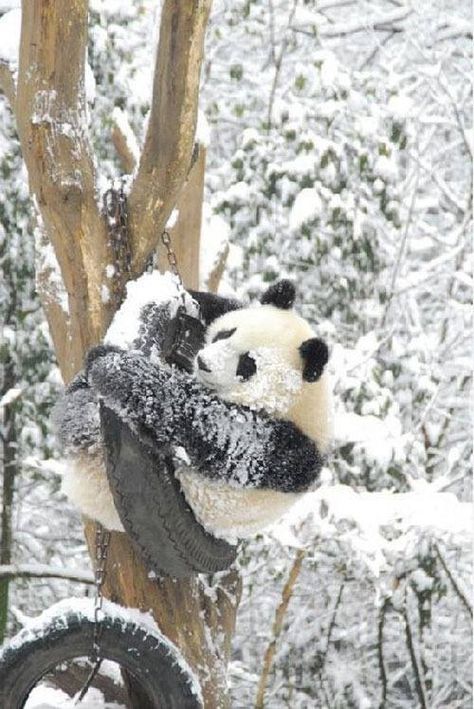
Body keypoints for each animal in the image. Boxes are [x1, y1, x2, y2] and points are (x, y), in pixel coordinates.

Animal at [55, 280, 334, 540]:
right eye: (226, 333)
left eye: (247, 364)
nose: (204, 362)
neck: (303, 399)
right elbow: (222, 304)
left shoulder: (282, 446)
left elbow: (203, 423)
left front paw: (114, 368)